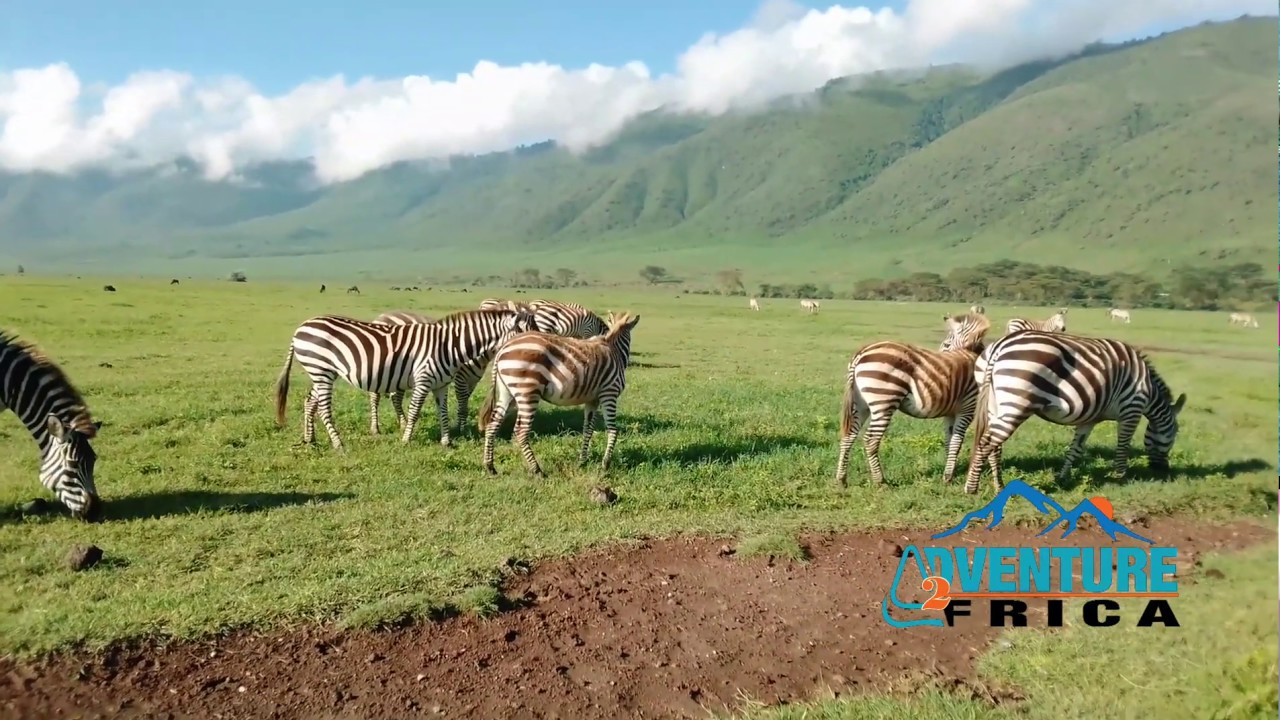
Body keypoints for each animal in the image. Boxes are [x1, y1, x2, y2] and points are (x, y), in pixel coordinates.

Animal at [274, 308, 536, 451]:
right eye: (526, 332)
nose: (538, 347)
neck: (449, 345)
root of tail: (301, 327)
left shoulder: (441, 384)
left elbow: (443, 412)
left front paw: (446, 442)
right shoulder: (423, 379)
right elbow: (415, 410)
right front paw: (406, 439)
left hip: (320, 372)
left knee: (310, 402)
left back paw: (310, 439)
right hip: (321, 370)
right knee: (324, 408)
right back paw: (338, 443)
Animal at [479, 312, 640, 476]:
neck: (614, 350)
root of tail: (503, 348)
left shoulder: (592, 400)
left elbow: (587, 429)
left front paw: (582, 461)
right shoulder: (609, 393)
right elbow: (612, 429)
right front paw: (605, 465)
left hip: (507, 393)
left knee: (493, 424)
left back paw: (490, 466)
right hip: (528, 392)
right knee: (521, 431)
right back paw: (537, 470)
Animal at [834, 312, 992, 487]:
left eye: (946, 344)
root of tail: (861, 352)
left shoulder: (951, 413)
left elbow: (949, 441)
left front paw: (948, 473)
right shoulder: (967, 408)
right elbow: (957, 443)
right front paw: (949, 476)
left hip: (861, 405)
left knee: (849, 435)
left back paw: (841, 479)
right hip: (884, 402)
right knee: (871, 440)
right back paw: (881, 481)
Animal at [962, 331, 1187, 495]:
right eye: (1174, 434)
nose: (1163, 470)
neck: (1148, 391)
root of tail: (1000, 345)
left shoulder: (1090, 419)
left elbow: (1075, 449)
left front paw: (1063, 477)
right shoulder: (1131, 410)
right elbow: (1123, 447)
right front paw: (1120, 477)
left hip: (994, 404)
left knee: (994, 446)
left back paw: (999, 486)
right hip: (1016, 403)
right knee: (986, 443)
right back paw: (971, 487)